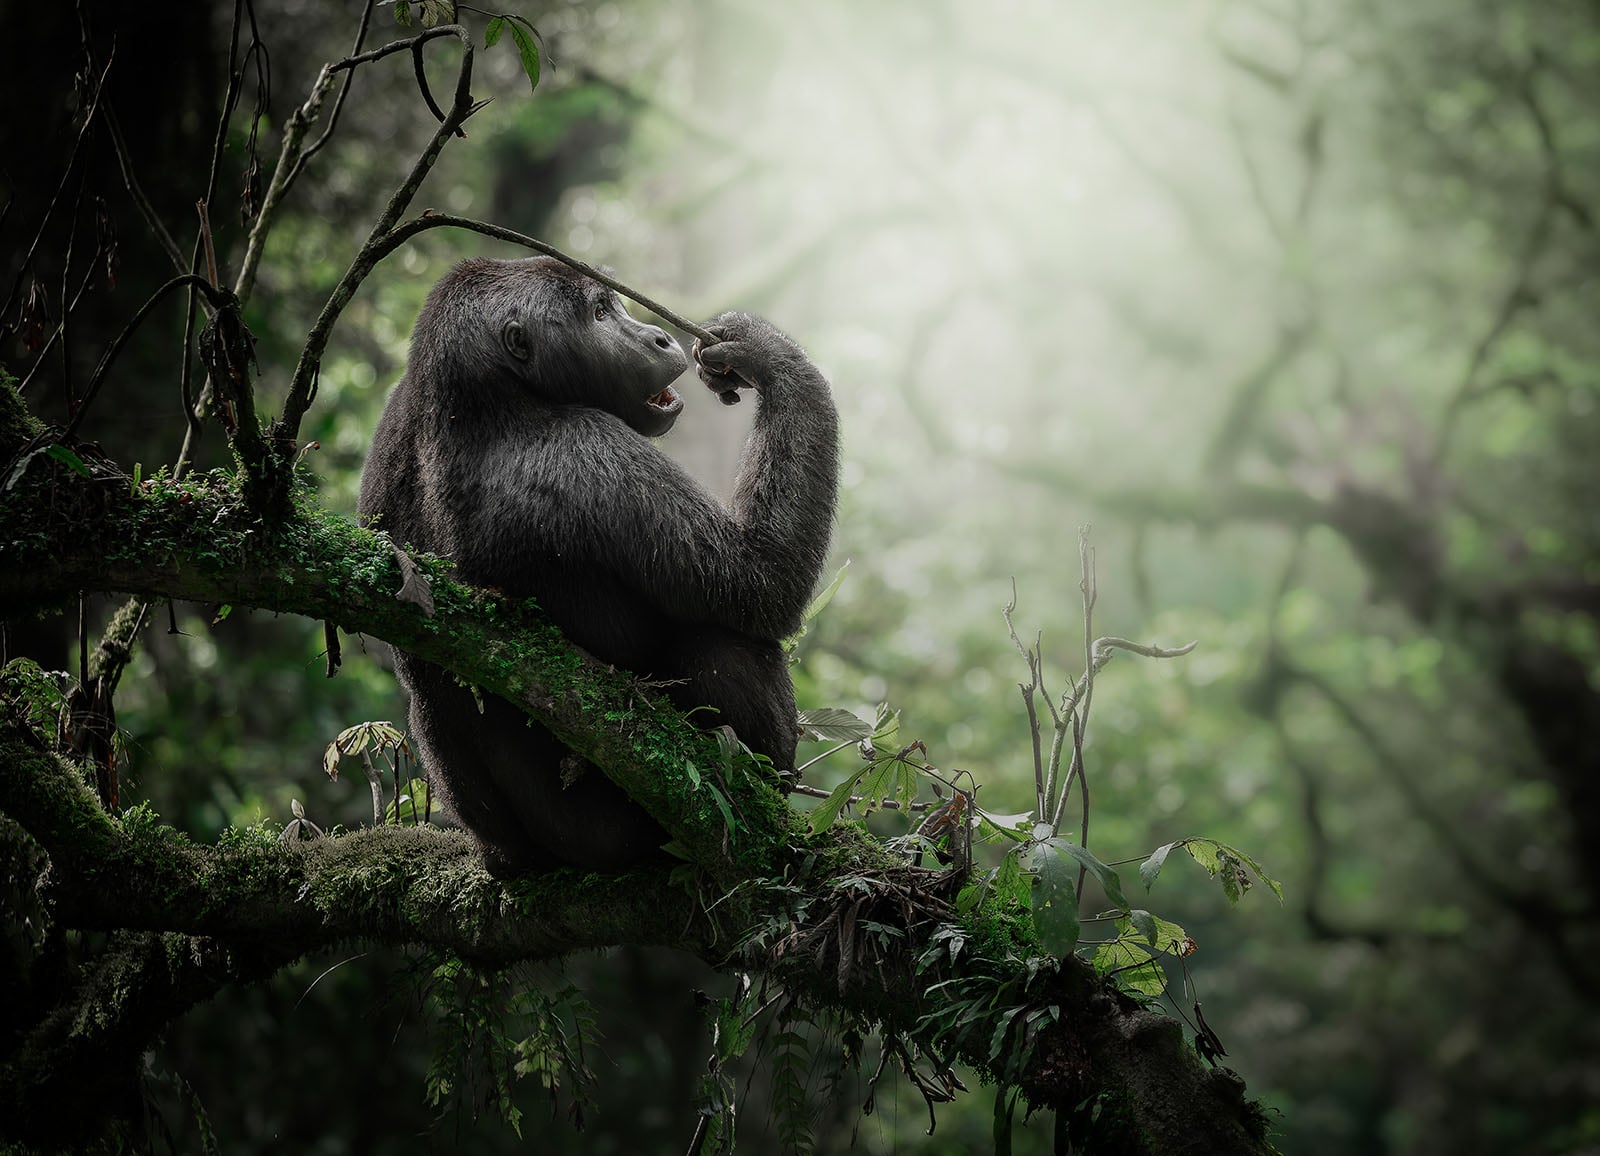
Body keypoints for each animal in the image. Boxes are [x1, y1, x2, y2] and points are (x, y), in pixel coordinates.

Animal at [358, 256, 840, 874]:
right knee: (722, 642)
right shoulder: (586, 448)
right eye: (600, 312)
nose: (658, 337)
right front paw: (770, 355)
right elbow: (762, 585)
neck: (488, 393)